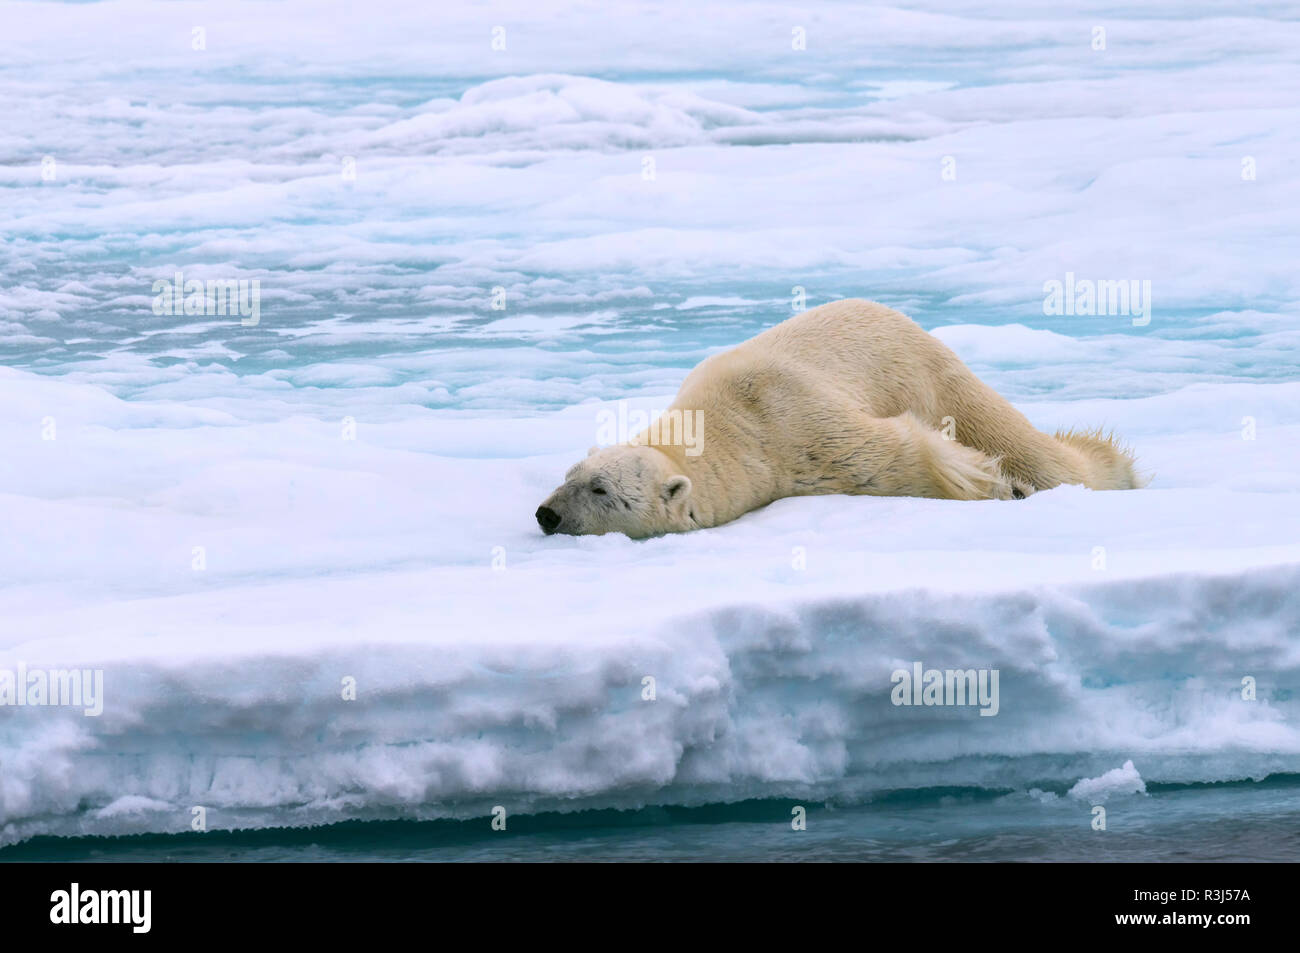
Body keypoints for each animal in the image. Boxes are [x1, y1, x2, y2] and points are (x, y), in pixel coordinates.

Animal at [535, 297, 1138, 535]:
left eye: (601, 490)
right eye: (568, 476)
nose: (547, 514)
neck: (719, 419)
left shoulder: (793, 425)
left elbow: (902, 453)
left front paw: (989, 484)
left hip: (930, 371)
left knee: (1016, 440)